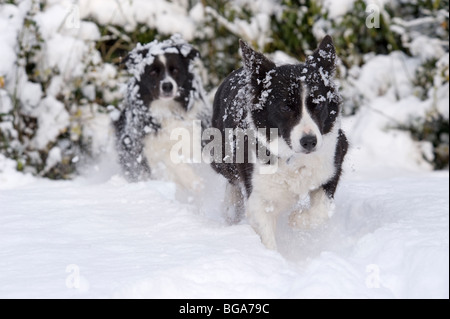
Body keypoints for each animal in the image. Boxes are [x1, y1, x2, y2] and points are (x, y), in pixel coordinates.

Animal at [114, 34, 209, 191]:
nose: (167, 86)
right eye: (152, 72)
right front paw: (196, 183)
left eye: (175, 70)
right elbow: (172, 160)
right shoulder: (149, 150)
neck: (167, 109)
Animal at [211, 35, 348, 250]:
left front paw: (296, 219)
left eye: (318, 104)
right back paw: (231, 208)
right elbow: (266, 236)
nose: (309, 142)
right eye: (285, 107)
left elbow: (322, 210)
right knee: (231, 181)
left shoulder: (334, 161)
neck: (293, 158)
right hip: (220, 158)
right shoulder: (259, 197)